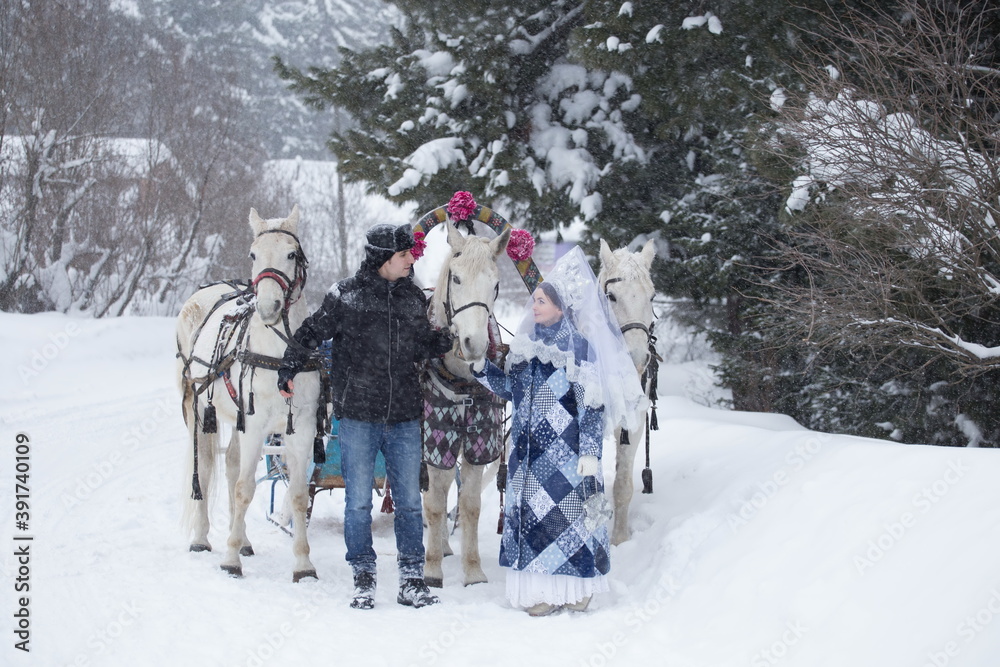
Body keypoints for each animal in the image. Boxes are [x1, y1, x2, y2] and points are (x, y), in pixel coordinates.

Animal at [175, 205, 323, 582]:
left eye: (291, 253)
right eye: (253, 254)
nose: (269, 307)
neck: (281, 358)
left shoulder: (300, 429)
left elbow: (298, 495)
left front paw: (303, 564)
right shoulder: (255, 425)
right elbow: (244, 490)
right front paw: (230, 560)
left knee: (230, 466)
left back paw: (241, 539)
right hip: (198, 409)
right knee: (205, 469)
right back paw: (202, 539)